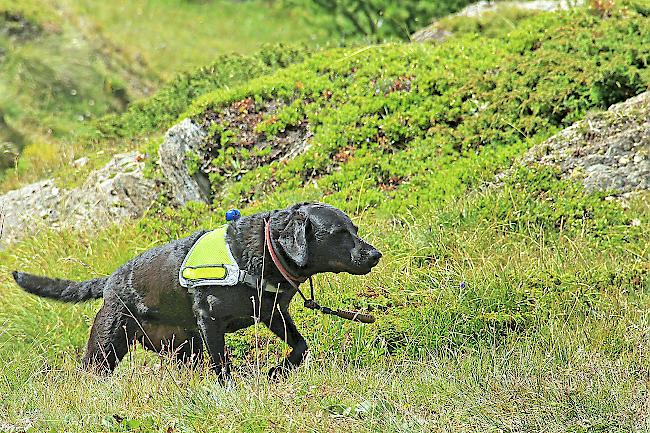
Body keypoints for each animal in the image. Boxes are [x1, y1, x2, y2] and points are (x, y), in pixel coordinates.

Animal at [11, 202, 380, 378]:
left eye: (355, 229)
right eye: (339, 234)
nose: (375, 254)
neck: (264, 251)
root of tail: (110, 281)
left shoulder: (272, 312)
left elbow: (300, 348)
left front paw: (277, 372)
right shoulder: (209, 321)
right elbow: (222, 366)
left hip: (183, 347)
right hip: (108, 344)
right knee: (93, 371)